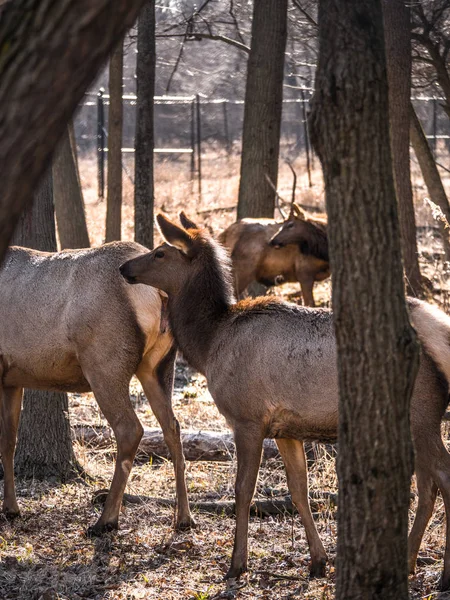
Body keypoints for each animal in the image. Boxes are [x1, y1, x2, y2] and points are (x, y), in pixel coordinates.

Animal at [0, 240, 192, 536]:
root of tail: (159, 293)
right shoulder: (12, 379)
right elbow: (9, 442)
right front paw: (11, 508)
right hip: (158, 364)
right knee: (172, 426)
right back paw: (183, 518)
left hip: (104, 362)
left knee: (130, 429)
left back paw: (106, 520)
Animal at [120, 212, 450, 592]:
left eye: (160, 252)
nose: (124, 268)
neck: (209, 343)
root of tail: (438, 332)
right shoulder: (286, 428)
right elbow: (298, 491)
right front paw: (319, 560)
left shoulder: (247, 419)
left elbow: (243, 491)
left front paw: (237, 564)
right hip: (420, 418)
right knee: (427, 487)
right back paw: (409, 562)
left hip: (421, 413)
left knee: (443, 476)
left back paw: (443, 575)